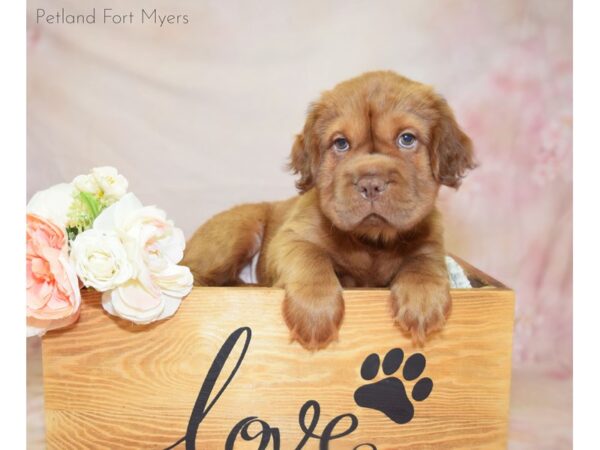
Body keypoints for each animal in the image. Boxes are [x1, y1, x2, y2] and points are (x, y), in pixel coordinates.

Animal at [183, 71, 474, 352]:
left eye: (407, 139)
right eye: (341, 143)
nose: (370, 183)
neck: (372, 241)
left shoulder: (431, 242)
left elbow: (423, 262)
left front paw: (423, 300)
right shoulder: (290, 238)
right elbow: (311, 258)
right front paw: (315, 311)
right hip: (241, 229)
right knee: (196, 275)